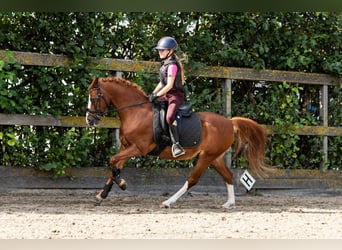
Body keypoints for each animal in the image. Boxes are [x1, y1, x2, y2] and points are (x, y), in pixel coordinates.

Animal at [85, 76, 268, 209]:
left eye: (93, 98)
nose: (89, 120)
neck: (136, 112)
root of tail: (230, 122)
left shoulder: (139, 148)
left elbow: (112, 161)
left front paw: (122, 184)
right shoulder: (126, 146)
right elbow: (115, 165)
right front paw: (101, 196)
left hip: (207, 157)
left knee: (193, 179)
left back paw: (168, 202)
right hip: (215, 157)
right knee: (228, 176)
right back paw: (229, 203)